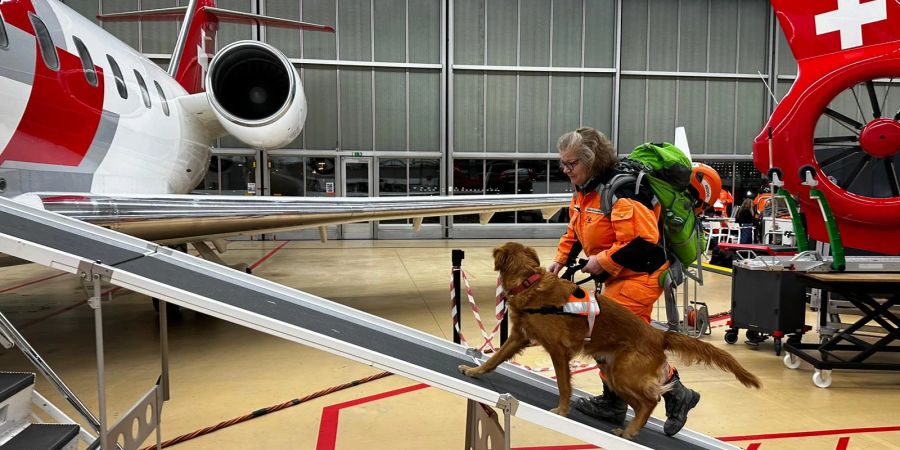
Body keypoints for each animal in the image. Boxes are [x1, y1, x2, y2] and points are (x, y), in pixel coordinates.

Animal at [458, 243, 760, 440]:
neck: (529, 283)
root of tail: (658, 334)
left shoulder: (558, 350)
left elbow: (564, 385)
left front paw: (562, 410)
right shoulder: (518, 338)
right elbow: (494, 359)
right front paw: (474, 370)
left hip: (624, 373)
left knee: (650, 401)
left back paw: (631, 430)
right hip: (615, 372)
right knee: (643, 402)